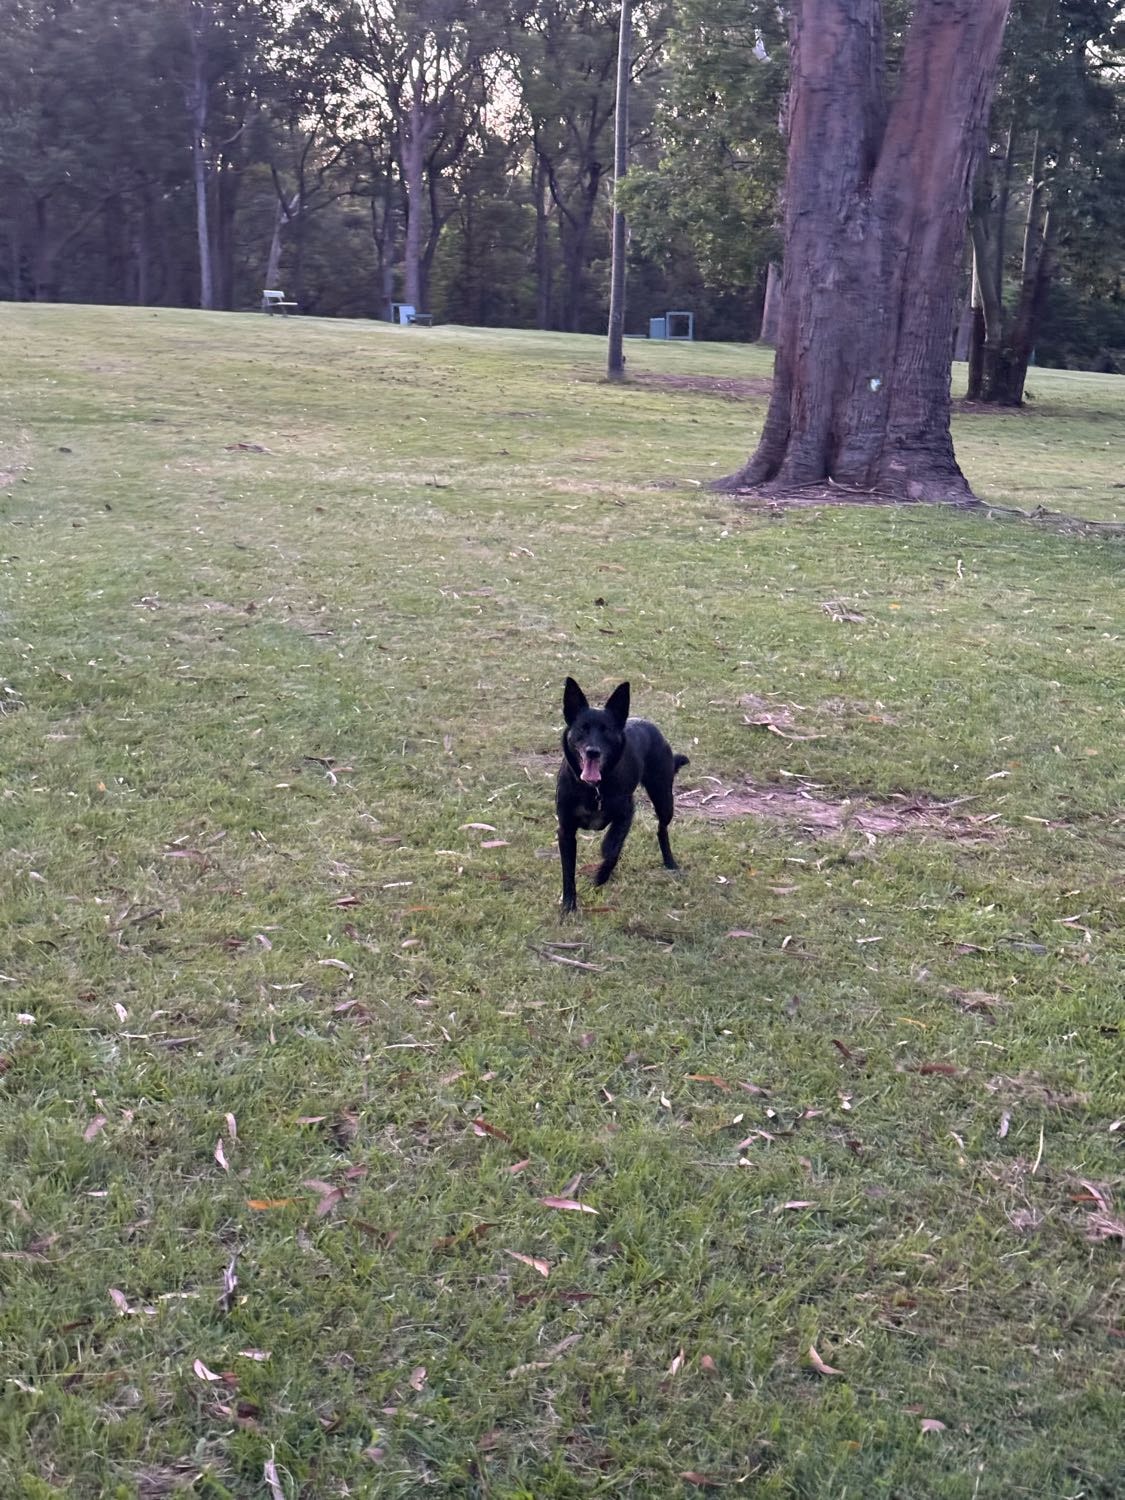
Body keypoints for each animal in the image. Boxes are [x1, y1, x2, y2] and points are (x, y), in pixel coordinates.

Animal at [556, 677, 690, 913]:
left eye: (607, 730)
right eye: (582, 728)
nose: (592, 752)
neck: (594, 789)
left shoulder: (627, 813)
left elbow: (612, 849)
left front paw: (601, 876)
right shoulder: (566, 831)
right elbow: (568, 872)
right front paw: (569, 906)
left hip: (664, 799)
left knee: (662, 829)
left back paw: (670, 863)